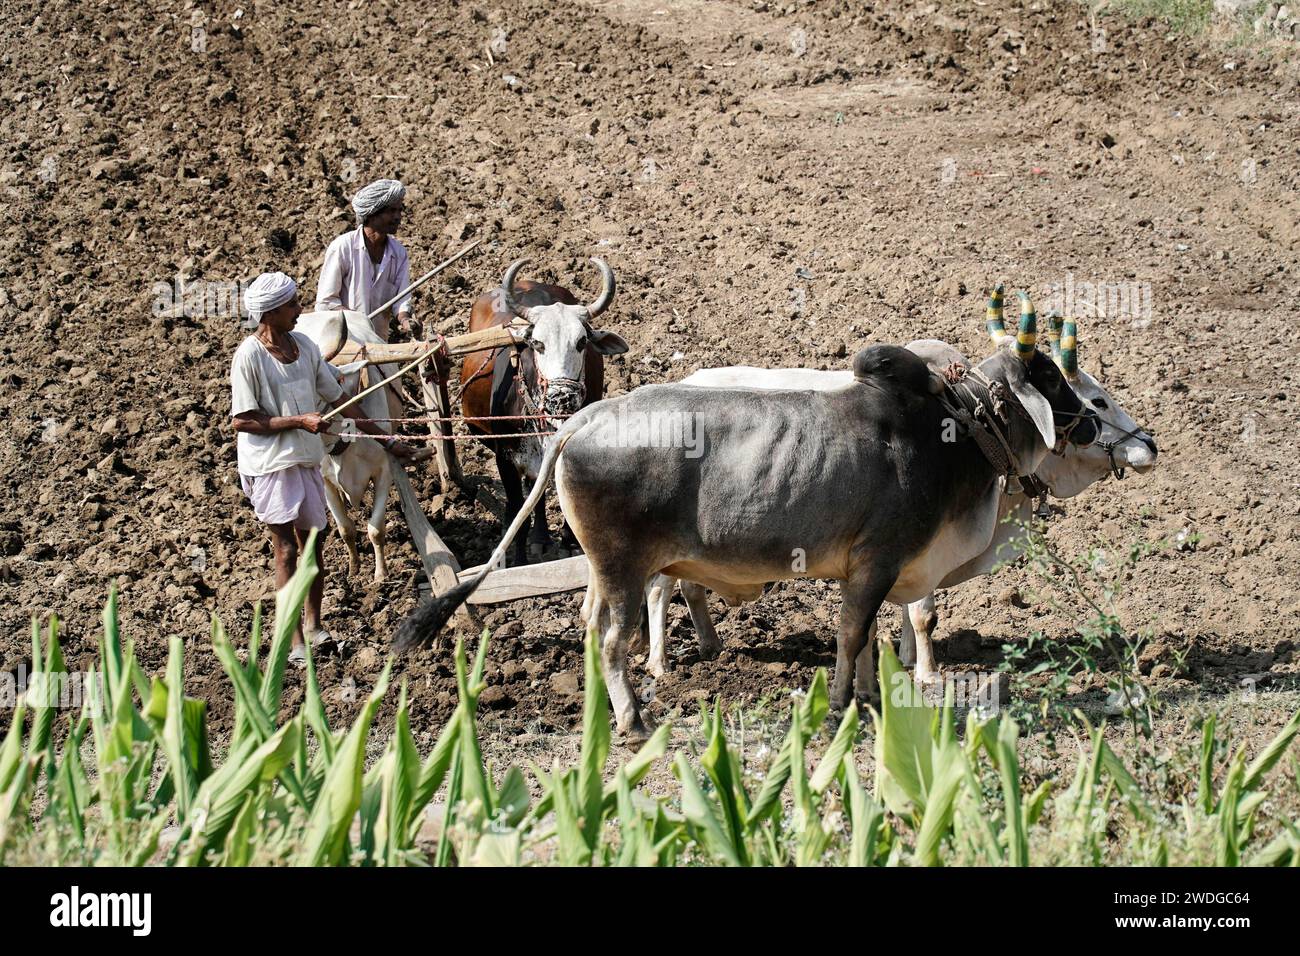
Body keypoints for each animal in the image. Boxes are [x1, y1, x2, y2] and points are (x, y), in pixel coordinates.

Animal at [394, 295, 1100, 739]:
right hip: (624, 568)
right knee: (616, 640)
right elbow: (851, 636)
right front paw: (840, 707)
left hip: (602, 568)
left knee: (590, 627)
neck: (952, 432)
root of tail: (583, 417)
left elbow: (869, 639)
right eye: (1052, 378)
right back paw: (634, 721)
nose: (1093, 424)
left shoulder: (870, 572)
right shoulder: (878, 562)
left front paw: (871, 700)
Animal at [460, 258, 628, 565]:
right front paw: (519, 560)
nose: (562, 399)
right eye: (537, 343)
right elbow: (519, 508)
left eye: (582, 342)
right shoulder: (505, 458)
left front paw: (569, 542)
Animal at [644, 316, 1158, 684]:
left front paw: (906, 658)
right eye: (1097, 401)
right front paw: (928, 673)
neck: (971, 420)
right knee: (658, 591)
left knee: (689, 586)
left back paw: (709, 646)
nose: (1149, 445)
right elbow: (923, 613)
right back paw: (660, 664)